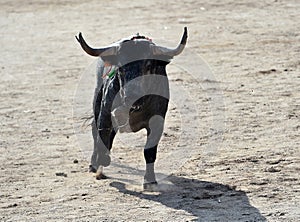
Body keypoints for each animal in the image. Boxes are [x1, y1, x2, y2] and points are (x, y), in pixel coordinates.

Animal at [75, 26, 188, 188]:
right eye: (120, 68)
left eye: (148, 65)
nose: (131, 95)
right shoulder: (105, 114)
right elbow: (102, 137)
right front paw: (102, 161)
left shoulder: (157, 122)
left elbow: (149, 151)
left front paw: (150, 181)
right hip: (96, 101)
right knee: (95, 130)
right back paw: (94, 165)